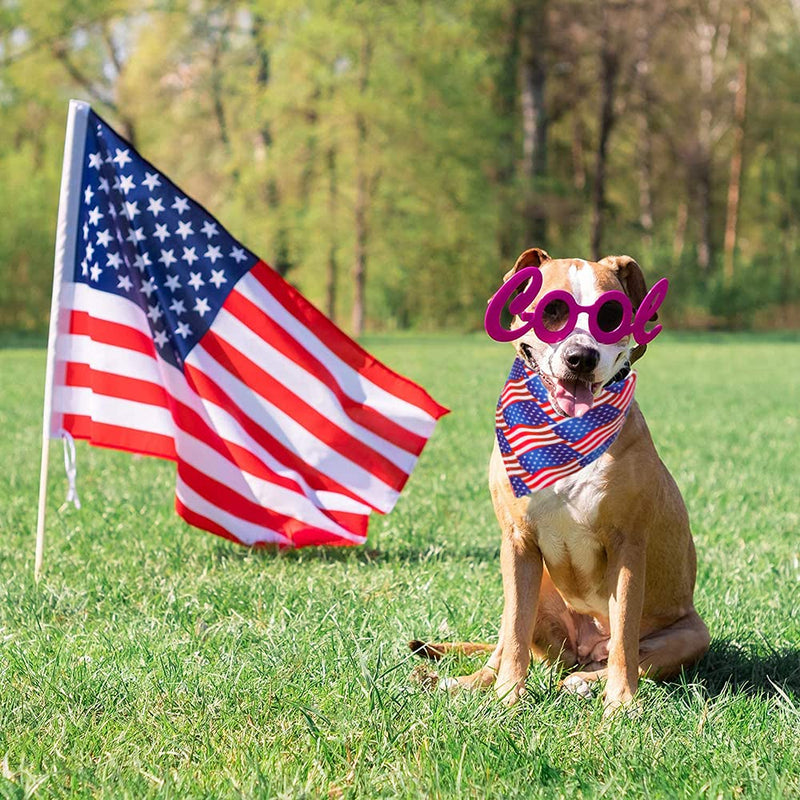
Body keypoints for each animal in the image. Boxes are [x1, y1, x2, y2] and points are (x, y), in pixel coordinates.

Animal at [416, 245, 708, 712]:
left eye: (611, 315)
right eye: (553, 310)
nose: (581, 357)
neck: (565, 433)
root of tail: (584, 647)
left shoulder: (628, 546)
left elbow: (625, 638)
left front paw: (621, 702)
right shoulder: (517, 544)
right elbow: (515, 635)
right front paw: (508, 698)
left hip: (691, 633)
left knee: (632, 656)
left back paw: (586, 681)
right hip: (532, 588)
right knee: (503, 641)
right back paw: (466, 682)